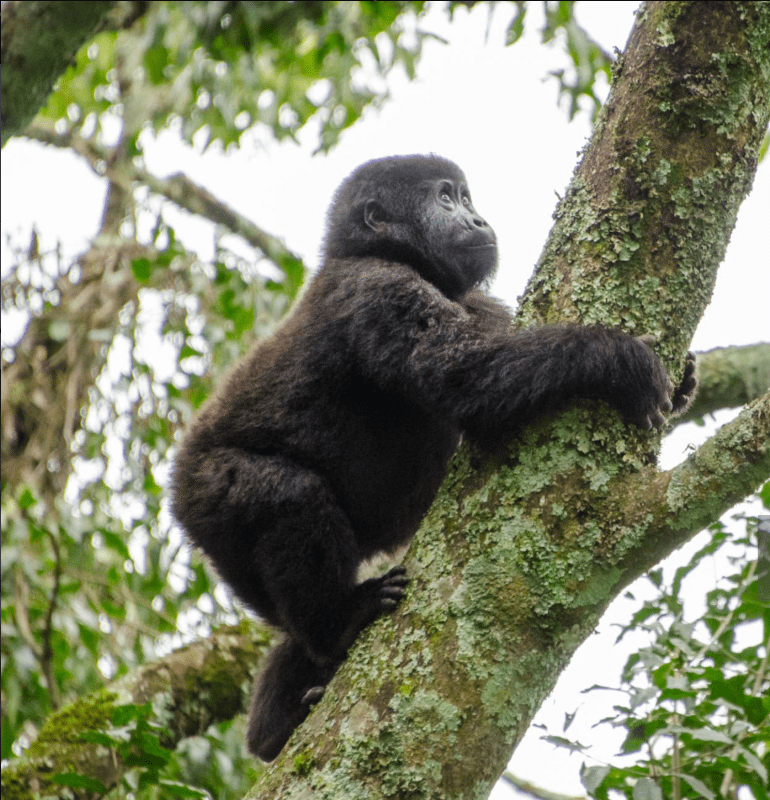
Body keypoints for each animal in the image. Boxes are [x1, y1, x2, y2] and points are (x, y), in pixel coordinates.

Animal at [171, 154, 697, 760]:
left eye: (466, 198)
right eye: (446, 198)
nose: (478, 218)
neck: (388, 254)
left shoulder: (475, 301)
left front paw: (683, 383)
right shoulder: (379, 290)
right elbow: (465, 376)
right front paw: (614, 357)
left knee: (290, 629)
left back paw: (278, 723)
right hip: (207, 501)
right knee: (286, 495)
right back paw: (339, 623)